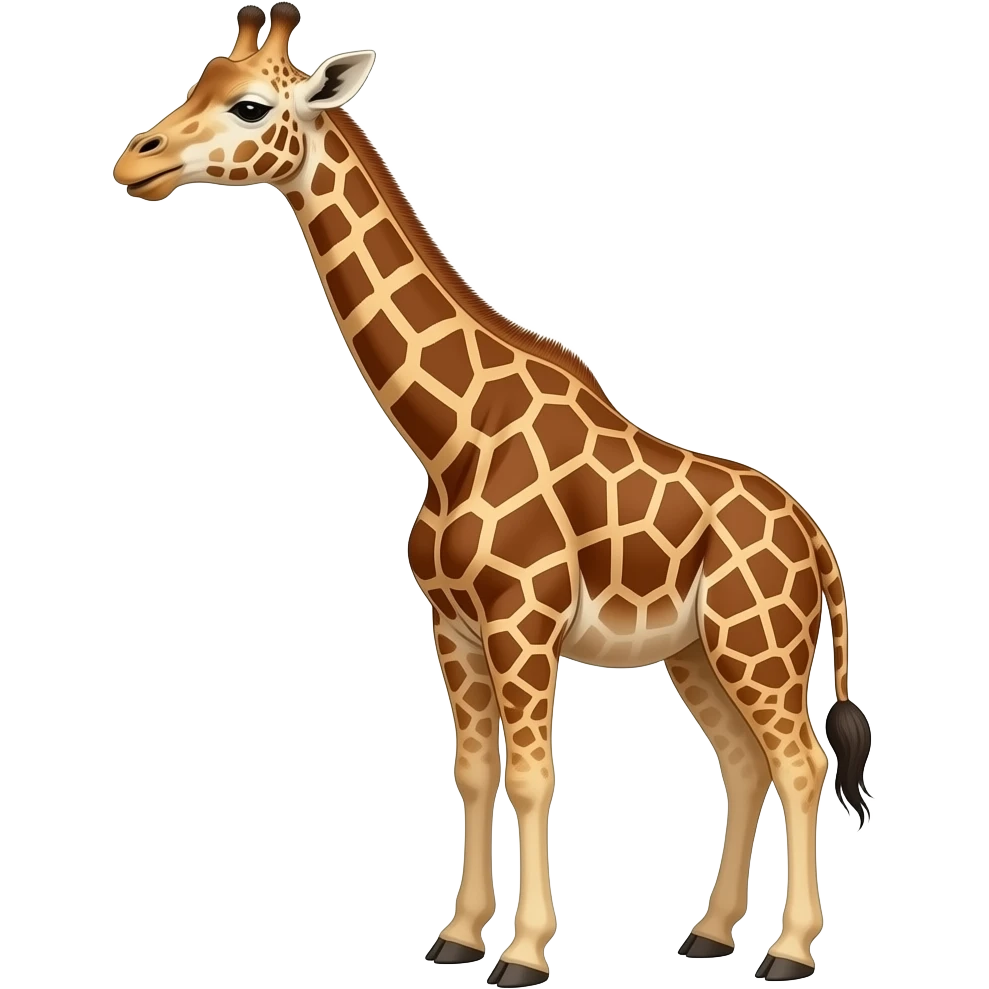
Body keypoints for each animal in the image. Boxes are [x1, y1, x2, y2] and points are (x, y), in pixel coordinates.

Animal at [112, 6, 873, 985]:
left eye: (249, 106)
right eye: (195, 83)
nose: (136, 161)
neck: (450, 439)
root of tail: (818, 541)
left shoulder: (523, 621)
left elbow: (532, 775)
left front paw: (523, 953)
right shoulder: (454, 625)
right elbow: (472, 772)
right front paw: (457, 936)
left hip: (759, 642)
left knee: (801, 760)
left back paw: (787, 949)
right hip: (697, 651)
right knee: (744, 763)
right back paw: (708, 934)